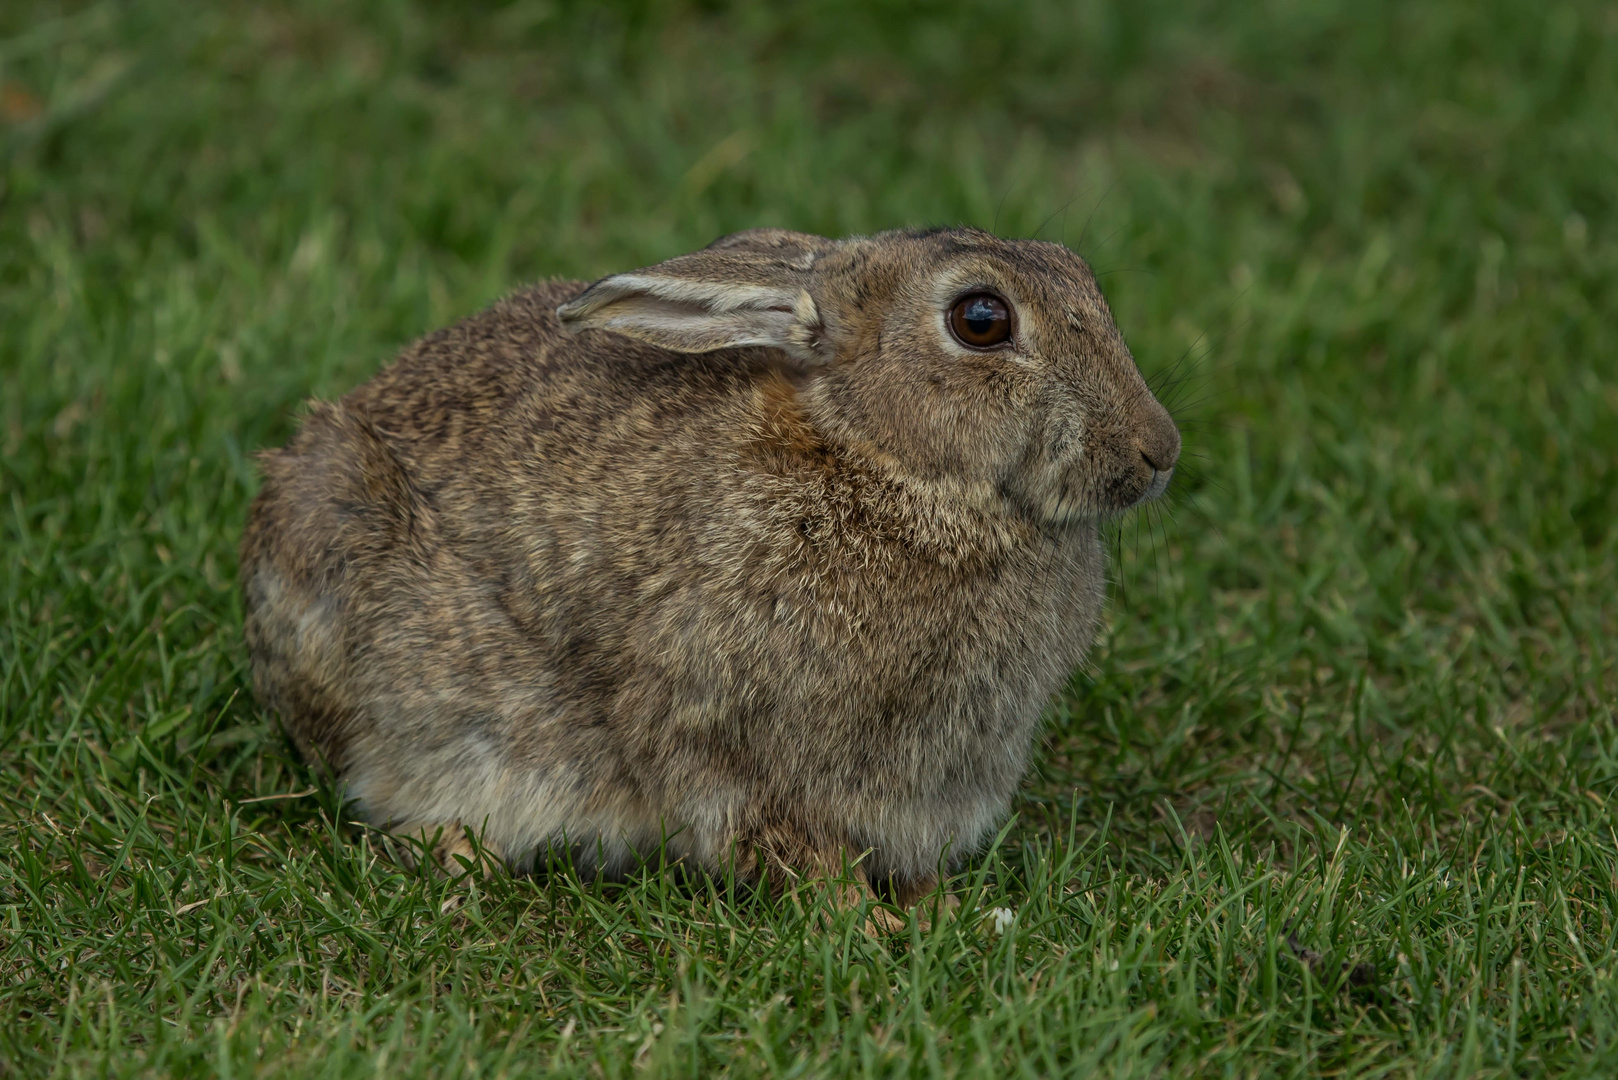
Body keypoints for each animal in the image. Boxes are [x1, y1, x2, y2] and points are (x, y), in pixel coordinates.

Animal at [239, 223, 1177, 926]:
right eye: (981, 319)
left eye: (1074, 266)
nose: (1159, 451)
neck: (887, 467)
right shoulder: (732, 746)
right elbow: (800, 854)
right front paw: (868, 925)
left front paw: (941, 912)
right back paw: (462, 853)